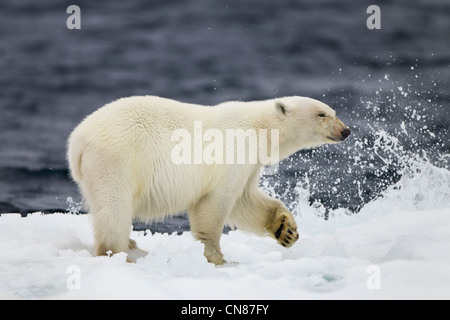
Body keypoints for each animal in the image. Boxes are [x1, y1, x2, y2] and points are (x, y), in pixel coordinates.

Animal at [67, 95, 350, 264]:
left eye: (333, 110)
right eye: (321, 114)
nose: (345, 130)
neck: (258, 128)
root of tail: (76, 142)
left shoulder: (249, 164)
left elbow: (245, 200)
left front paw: (286, 230)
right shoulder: (232, 154)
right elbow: (216, 203)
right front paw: (218, 257)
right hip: (117, 162)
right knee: (114, 208)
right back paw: (120, 253)